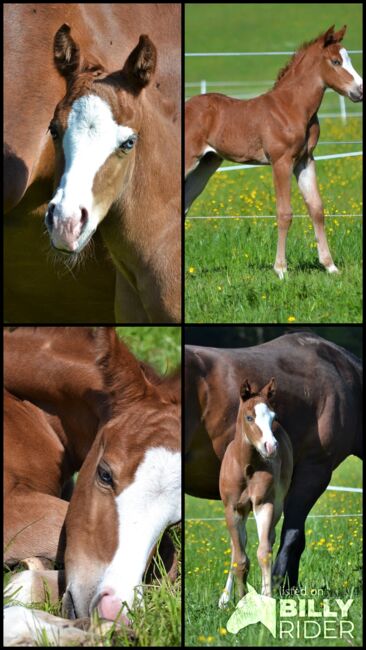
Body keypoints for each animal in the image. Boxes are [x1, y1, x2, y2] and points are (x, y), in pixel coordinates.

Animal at [219, 374, 294, 604]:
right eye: (249, 417)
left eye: (273, 416)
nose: (271, 447)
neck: (246, 467)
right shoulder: (233, 509)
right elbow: (240, 558)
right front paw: (239, 599)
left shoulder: (264, 504)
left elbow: (264, 552)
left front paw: (266, 597)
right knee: (236, 547)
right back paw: (224, 599)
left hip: (277, 505)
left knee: (268, 539)